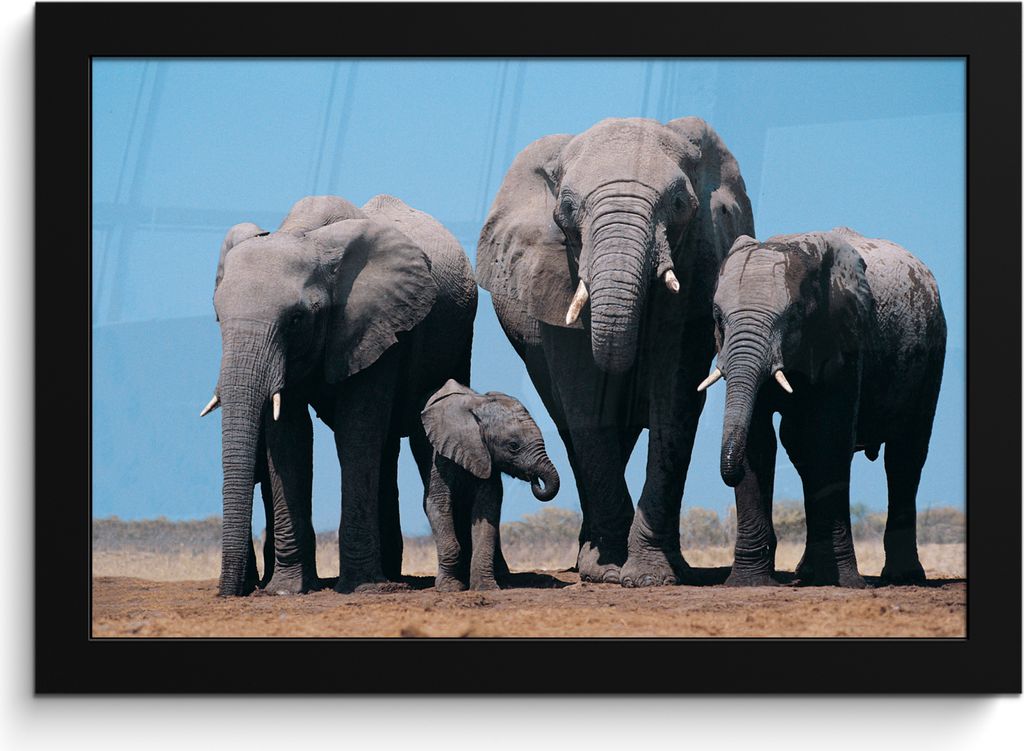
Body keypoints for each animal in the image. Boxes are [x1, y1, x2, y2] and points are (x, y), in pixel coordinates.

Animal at [202, 194, 477, 596]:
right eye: (218, 317)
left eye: (296, 319)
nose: (231, 594)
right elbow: (290, 437)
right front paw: (287, 589)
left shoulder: (378, 324)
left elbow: (356, 431)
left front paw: (360, 586)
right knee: (386, 448)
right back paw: (389, 573)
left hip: (458, 340)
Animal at [419, 379, 560, 591]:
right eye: (513, 446)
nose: (535, 479)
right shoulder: (441, 455)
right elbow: (437, 503)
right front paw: (450, 588)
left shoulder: (487, 461)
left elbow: (487, 509)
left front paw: (486, 587)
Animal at [476, 117, 754, 586]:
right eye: (567, 210)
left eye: (679, 203)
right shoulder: (556, 274)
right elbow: (586, 396)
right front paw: (606, 572)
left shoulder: (699, 262)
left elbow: (675, 396)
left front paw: (652, 576)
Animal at [704, 227, 946, 587]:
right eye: (718, 317)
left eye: (793, 315)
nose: (726, 477)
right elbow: (759, 441)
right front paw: (748, 583)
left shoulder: (844, 334)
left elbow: (829, 437)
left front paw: (845, 582)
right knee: (800, 451)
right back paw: (808, 573)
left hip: (932, 353)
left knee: (905, 456)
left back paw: (904, 578)